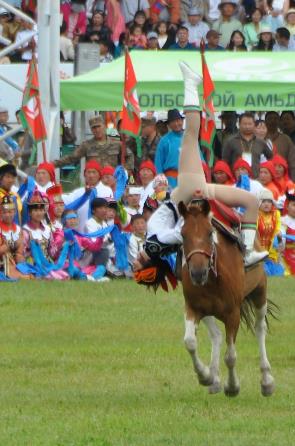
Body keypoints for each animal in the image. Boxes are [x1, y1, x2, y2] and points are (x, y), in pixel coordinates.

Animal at [179, 199, 276, 398]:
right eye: (183, 235)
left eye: (210, 233)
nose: (197, 273)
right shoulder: (193, 308)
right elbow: (190, 342)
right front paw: (205, 375)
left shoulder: (233, 314)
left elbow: (230, 356)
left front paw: (232, 386)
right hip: (208, 311)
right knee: (215, 335)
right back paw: (214, 378)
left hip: (259, 292)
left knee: (260, 328)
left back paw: (266, 381)